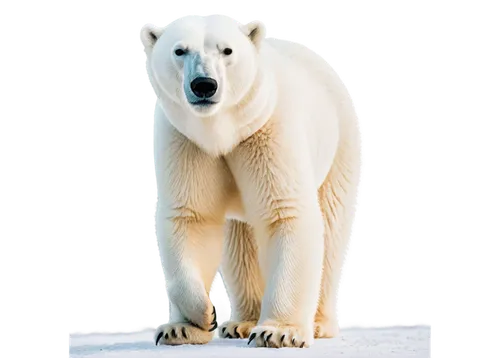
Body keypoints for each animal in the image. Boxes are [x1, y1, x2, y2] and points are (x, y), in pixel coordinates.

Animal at [140, 14, 364, 350]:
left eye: (227, 50)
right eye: (179, 50)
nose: (204, 85)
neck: (224, 132)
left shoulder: (268, 131)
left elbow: (286, 214)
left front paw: (279, 332)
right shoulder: (186, 142)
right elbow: (191, 217)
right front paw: (194, 321)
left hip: (340, 147)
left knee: (331, 228)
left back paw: (317, 323)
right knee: (239, 244)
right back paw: (237, 323)